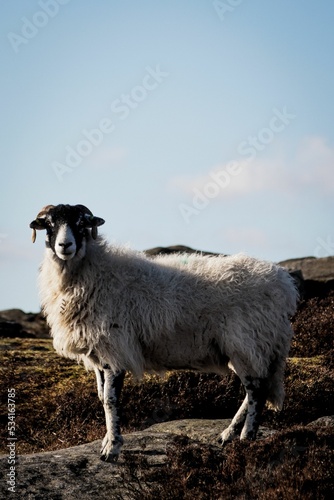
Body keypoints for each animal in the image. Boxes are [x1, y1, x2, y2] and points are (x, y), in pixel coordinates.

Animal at [30, 205, 298, 462]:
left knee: (257, 391)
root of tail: (283, 284)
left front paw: (112, 448)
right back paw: (228, 434)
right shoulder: (99, 354)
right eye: (49, 224)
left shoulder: (116, 349)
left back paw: (246, 439)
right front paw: (108, 441)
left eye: (81, 223)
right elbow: (101, 397)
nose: (65, 246)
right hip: (247, 349)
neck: (93, 273)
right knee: (255, 388)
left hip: (247, 342)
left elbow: (110, 401)